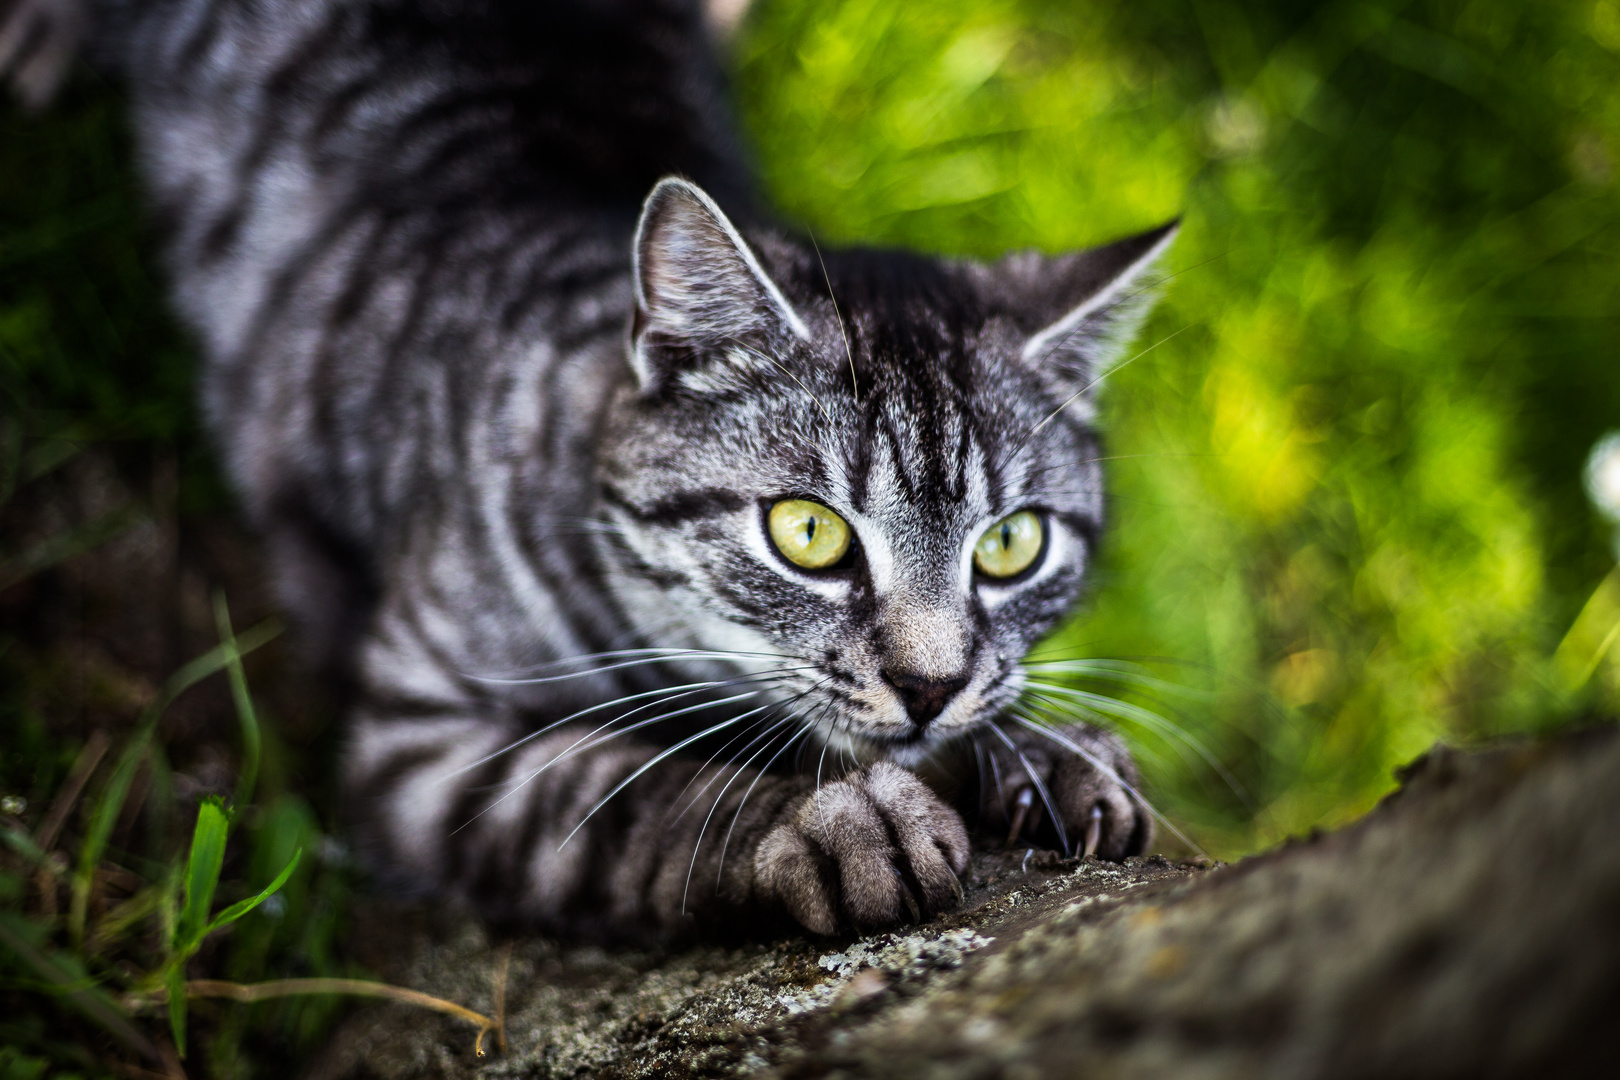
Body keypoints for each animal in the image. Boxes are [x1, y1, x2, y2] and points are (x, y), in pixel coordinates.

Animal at [0, 0, 1172, 939]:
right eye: (809, 533)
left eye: (1011, 546)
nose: (929, 686)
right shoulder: (421, 741)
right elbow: (629, 803)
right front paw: (832, 819)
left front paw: (1047, 756)